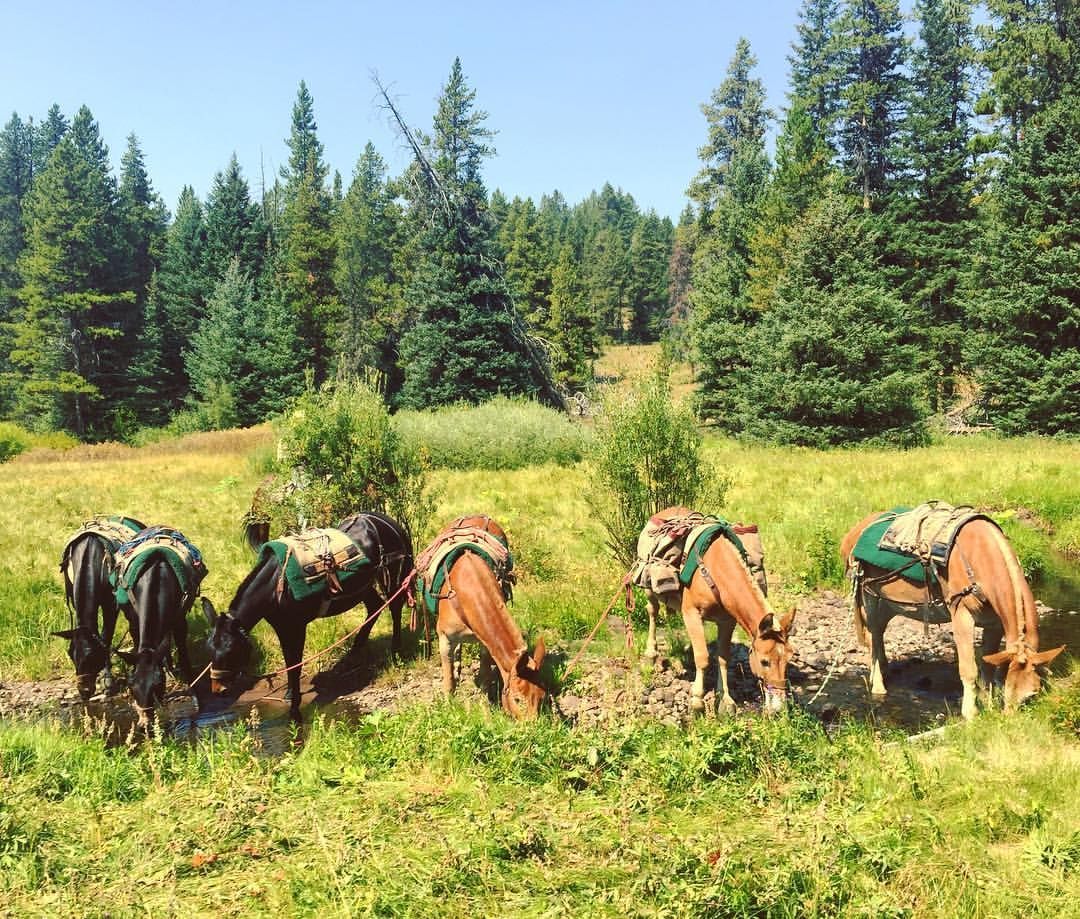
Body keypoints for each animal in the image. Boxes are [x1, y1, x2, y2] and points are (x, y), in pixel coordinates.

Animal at [56, 516, 145, 700]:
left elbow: (106, 637)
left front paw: (107, 680)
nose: (84, 692)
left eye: (92, 657)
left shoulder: (110, 604)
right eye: (71, 655)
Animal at [203, 511, 413, 720]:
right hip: (363, 586)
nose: (218, 690)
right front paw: (289, 693)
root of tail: (385, 520)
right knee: (374, 607)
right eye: (209, 649)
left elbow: (295, 663)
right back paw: (354, 653)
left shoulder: (297, 626)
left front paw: (295, 708)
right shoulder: (282, 626)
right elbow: (289, 660)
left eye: (231, 650)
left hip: (392, 574)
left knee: (394, 607)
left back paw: (396, 651)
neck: (276, 584)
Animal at [418, 515, 546, 719]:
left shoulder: (486, 644)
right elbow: (448, 679)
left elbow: (485, 677)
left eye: (541, 697)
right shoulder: (444, 639)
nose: (534, 726)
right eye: (518, 699)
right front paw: (448, 706)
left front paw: (485, 707)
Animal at [639, 506, 796, 714]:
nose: (779, 708)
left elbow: (723, 658)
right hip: (649, 589)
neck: (716, 569)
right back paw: (651, 653)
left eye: (788, 660)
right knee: (652, 612)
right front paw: (697, 700)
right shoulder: (692, 612)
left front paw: (726, 700)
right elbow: (703, 657)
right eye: (764, 661)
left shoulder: (727, 621)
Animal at [840, 510, 1065, 719]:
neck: (981, 560)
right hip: (870, 595)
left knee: (878, 634)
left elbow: (987, 665)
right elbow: (969, 669)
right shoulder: (962, 617)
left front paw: (988, 705)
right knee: (873, 635)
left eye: (1032, 694)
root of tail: (852, 535)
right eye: (1008, 693)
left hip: (891, 604)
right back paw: (878, 685)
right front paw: (971, 714)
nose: (1010, 721)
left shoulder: (994, 624)